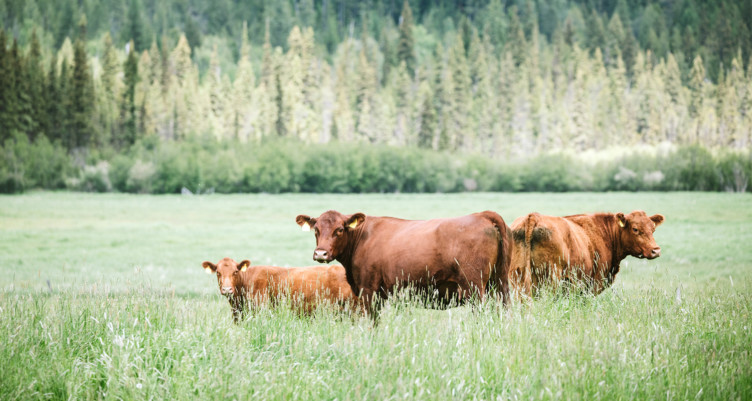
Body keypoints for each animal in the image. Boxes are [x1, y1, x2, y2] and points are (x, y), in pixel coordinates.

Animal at [295, 210, 512, 318]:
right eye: (316, 229)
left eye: (339, 230)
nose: (320, 253)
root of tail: (481, 215)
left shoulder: (368, 290)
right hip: (500, 282)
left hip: (474, 286)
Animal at [509, 210, 664, 297]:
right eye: (635, 229)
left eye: (653, 229)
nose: (656, 250)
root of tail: (533, 217)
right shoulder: (593, 284)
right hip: (550, 278)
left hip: (518, 277)